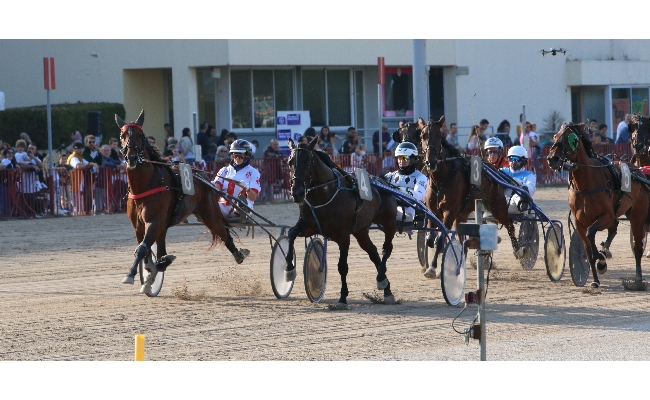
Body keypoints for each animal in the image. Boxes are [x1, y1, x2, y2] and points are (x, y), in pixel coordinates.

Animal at [116, 109, 248, 294]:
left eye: (140, 135)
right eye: (122, 135)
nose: (132, 157)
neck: (145, 186)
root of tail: (201, 175)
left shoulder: (154, 222)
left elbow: (142, 248)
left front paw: (130, 275)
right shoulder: (139, 226)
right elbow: (145, 250)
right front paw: (150, 273)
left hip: (209, 214)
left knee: (224, 232)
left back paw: (239, 254)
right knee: (161, 249)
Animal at [282, 136, 394, 308]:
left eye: (308, 162)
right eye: (290, 162)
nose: (297, 193)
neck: (324, 194)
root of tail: (383, 181)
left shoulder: (343, 236)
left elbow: (342, 267)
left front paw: (342, 298)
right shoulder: (309, 225)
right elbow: (292, 233)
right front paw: (289, 269)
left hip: (389, 222)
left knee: (386, 248)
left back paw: (383, 283)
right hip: (361, 230)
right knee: (374, 253)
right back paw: (386, 287)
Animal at [418, 114, 524, 276]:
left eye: (439, 135)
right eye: (422, 135)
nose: (431, 162)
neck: (441, 178)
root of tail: (494, 169)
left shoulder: (450, 212)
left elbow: (441, 239)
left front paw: (432, 268)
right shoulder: (433, 211)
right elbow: (431, 239)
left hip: (497, 205)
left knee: (509, 223)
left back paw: (518, 250)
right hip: (462, 214)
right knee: (462, 238)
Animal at [544, 122, 644, 288]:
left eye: (571, 138)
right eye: (555, 136)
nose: (553, 158)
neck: (586, 183)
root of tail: (638, 170)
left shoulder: (607, 216)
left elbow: (591, 232)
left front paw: (600, 258)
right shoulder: (580, 223)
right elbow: (588, 249)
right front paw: (596, 279)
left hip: (637, 215)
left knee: (637, 246)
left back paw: (638, 277)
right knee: (614, 230)